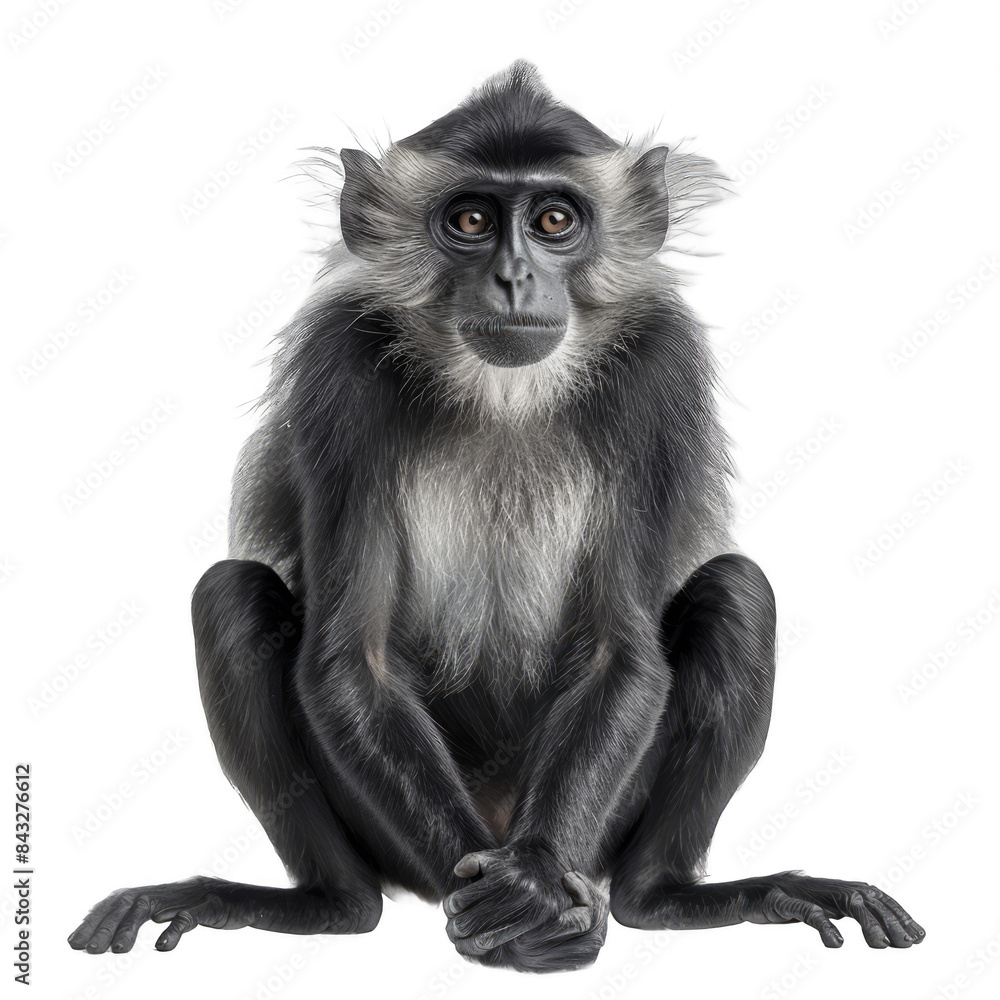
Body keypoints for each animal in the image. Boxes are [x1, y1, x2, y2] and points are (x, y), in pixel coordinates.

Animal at [69, 61, 924, 973]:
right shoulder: (339, 365)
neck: (504, 393)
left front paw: (537, 892)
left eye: (553, 221)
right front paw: (525, 915)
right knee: (230, 597)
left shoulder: (661, 369)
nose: (514, 278)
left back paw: (661, 897)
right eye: (472, 221)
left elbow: (623, 652)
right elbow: (348, 659)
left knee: (738, 591)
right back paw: (330, 906)